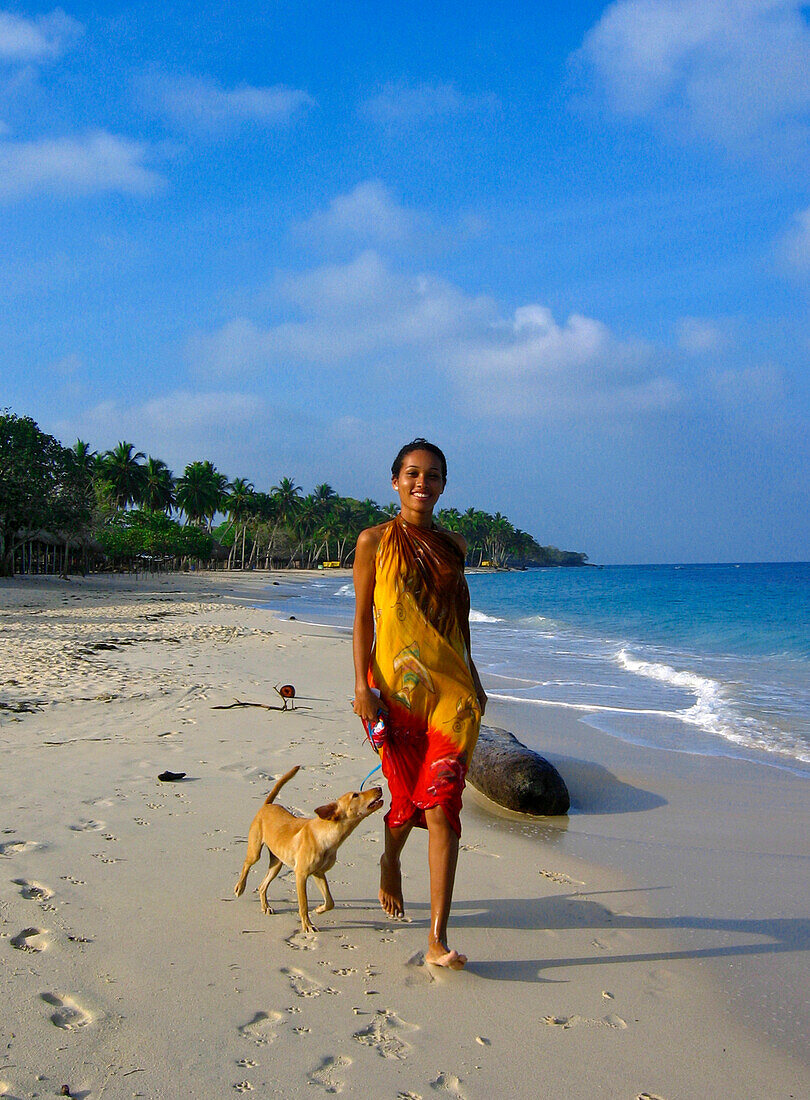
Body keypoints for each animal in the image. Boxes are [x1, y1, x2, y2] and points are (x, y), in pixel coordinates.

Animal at [232, 770, 385, 932]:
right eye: (355, 795)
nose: (379, 788)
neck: (328, 835)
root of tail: (267, 805)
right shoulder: (301, 874)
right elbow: (303, 904)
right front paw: (307, 925)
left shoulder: (318, 873)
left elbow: (330, 902)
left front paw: (318, 909)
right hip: (255, 851)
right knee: (246, 864)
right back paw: (240, 887)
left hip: (277, 863)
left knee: (262, 886)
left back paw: (266, 906)